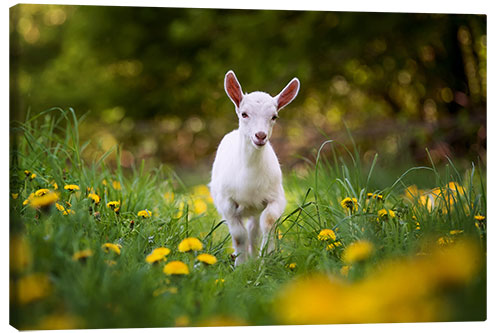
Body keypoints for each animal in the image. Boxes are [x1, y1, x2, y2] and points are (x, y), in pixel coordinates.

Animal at [208, 70, 298, 264]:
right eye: (244, 114)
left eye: (274, 116)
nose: (260, 135)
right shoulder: (226, 203)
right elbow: (238, 235)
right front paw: (241, 265)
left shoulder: (276, 198)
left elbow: (268, 223)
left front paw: (266, 258)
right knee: (248, 232)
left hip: (255, 209)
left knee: (254, 231)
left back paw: (256, 257)